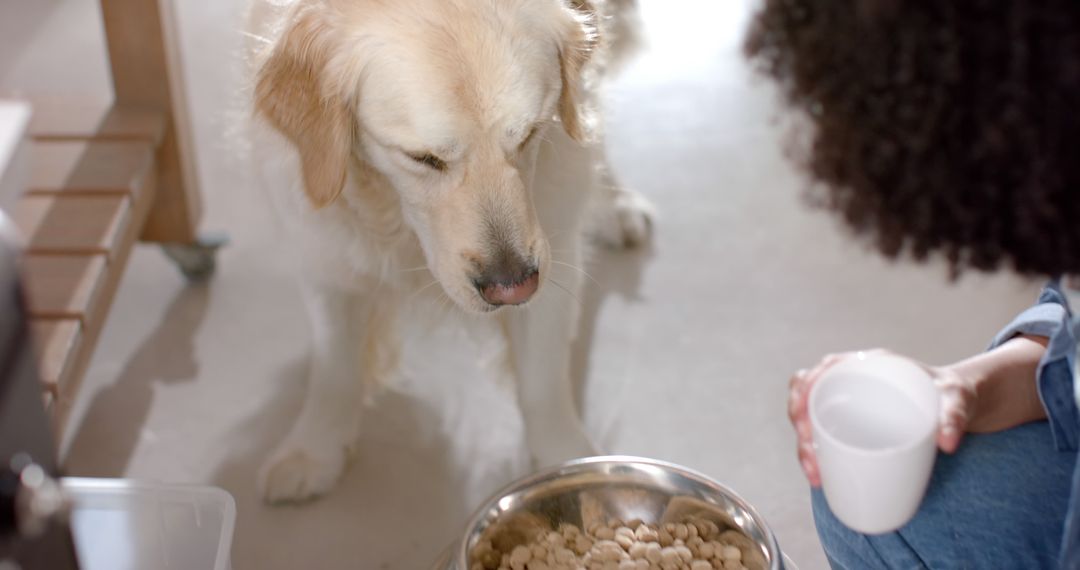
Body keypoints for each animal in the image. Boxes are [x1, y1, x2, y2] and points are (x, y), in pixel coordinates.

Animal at [244, 0, 648, 500]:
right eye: (423, 158)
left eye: (529, 134)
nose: (512, 288)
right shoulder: (323, 248)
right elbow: (334, 364)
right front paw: (313, 449)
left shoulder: (552, 240)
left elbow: (543, 381)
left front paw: (569, 460)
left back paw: (614, 204)